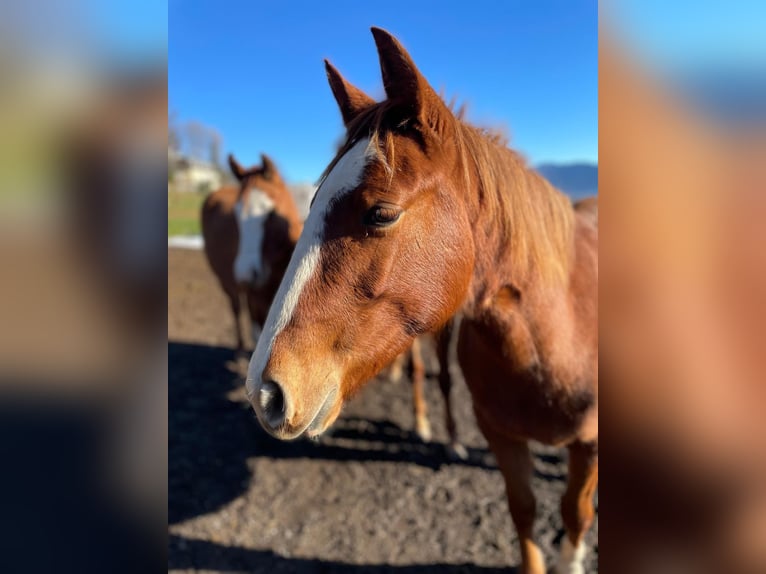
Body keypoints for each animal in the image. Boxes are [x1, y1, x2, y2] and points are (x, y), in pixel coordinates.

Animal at [245, 28, 597, 574]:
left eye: (381, 213)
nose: (265, 392)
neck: (552, 339)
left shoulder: (590, 446)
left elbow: (575, 517)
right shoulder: (502, 436)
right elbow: (524, 511)